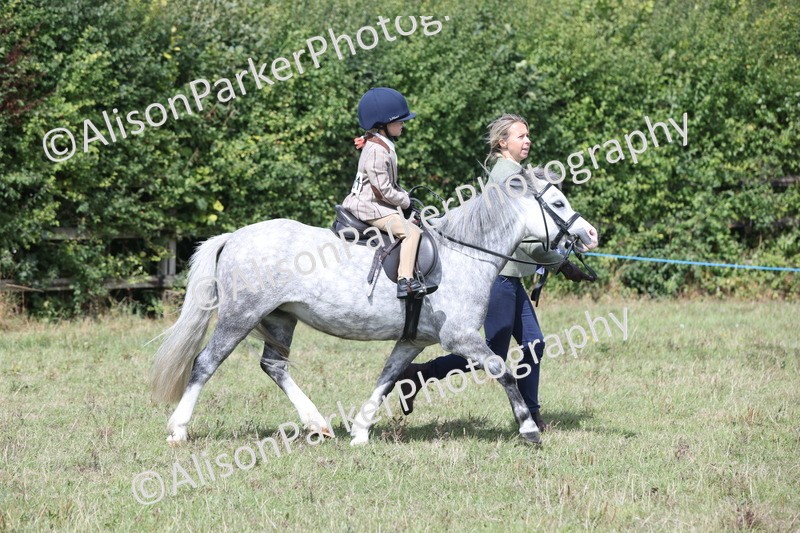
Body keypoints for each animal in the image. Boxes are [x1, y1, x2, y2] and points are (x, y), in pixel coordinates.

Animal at [151, 168, 599, 446]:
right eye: (558, 203)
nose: (590, 234)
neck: (466, 253)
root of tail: (234, 236)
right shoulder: (463, 338)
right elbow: (502, 370)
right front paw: (529, 429)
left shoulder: (413, 341)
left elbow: (387, 378)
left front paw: (362, 431)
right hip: (240, 317)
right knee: (205, 363)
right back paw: (178, 430)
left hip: (281, 318)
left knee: (274, 367)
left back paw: (318, 424)